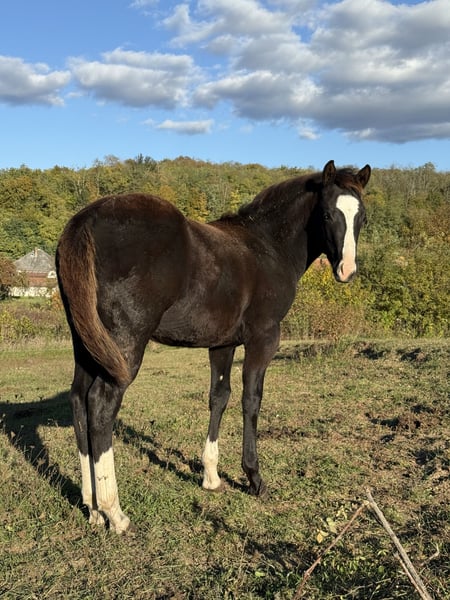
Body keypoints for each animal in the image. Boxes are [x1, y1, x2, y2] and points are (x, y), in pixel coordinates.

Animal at [56, 159, 371, 534]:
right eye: (326, 214)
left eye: (362, 217)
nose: (347, 270)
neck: (268, 246)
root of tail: (85, 220)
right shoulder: (264, 337)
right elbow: (251, 400)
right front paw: (254, 477)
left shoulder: (223, 344)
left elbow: (219, 397)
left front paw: (210, 476)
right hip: (123, 347)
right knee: (101, 406)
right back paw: (114, 513)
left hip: (87, 344)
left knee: (78, 400)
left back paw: (91, 508)